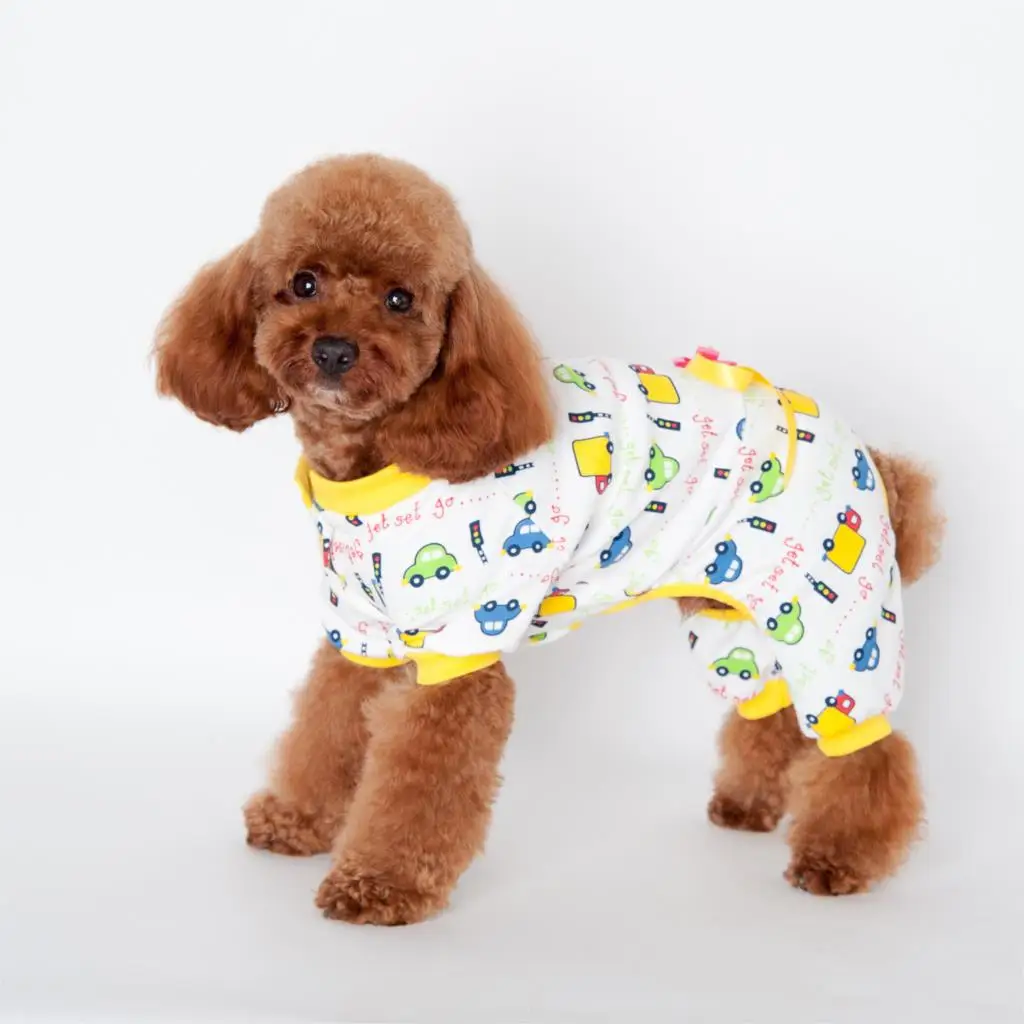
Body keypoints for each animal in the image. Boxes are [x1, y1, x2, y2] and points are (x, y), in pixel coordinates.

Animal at [155, 154, 943, 924]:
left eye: (401, 301)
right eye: (303, 282)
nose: (334, 350)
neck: (385, 456)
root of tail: (875, 459)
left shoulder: (461, 648)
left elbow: (421, 780)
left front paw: (380, 883)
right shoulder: (359, 631)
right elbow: (326, 727)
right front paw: (295, 820)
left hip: (835, 622)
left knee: (864, 746)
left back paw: (840, 857)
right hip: (732, 623)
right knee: (772, 712)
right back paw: (749, 805)